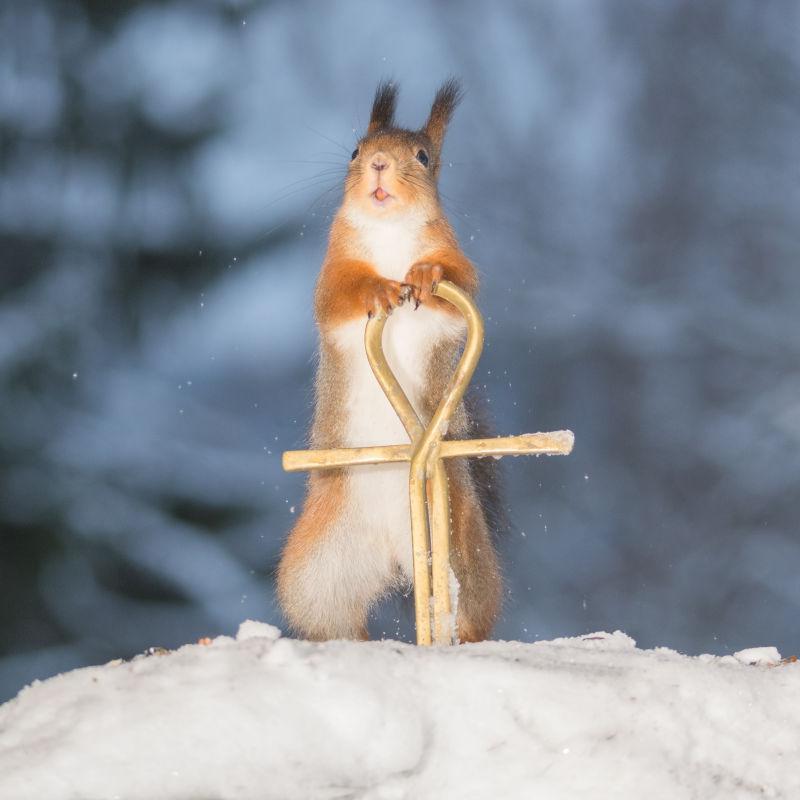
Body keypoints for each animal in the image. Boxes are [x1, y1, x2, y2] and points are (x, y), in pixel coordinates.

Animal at [276, 79, 500, 644]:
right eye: (355, 151)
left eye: (423, 157)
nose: (378, 164)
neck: (389, 232)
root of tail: (398, 555)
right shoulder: (333, 268)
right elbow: (339, 293)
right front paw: (378, 288)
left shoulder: (455, 256)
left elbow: (458, 281)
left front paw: (422, 275)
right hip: (316, 569)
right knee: (330, 616)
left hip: (460, 548)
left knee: (467, 611)